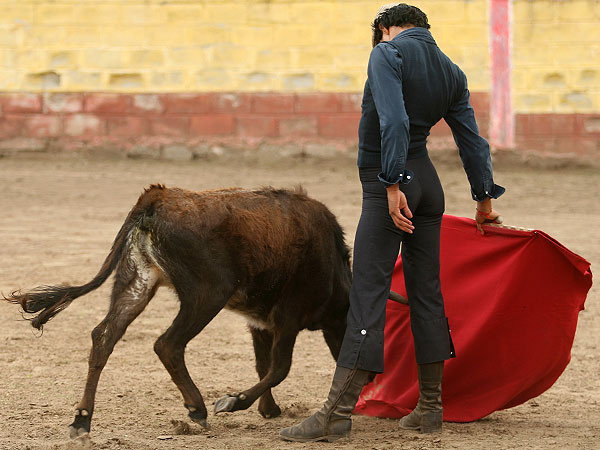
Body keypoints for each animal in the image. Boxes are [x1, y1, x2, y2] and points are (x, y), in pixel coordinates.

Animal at [4, 185, 352, 438]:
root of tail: (158, 196)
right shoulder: (287, 319)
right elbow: (279, 367)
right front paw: (235, 401)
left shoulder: (261, 324)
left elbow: (262, 364)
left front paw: (268, 409)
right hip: (208, 293)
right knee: (167, 344)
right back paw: (197, 408)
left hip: (136, 282)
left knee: (104, 337)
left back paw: (82, 419)